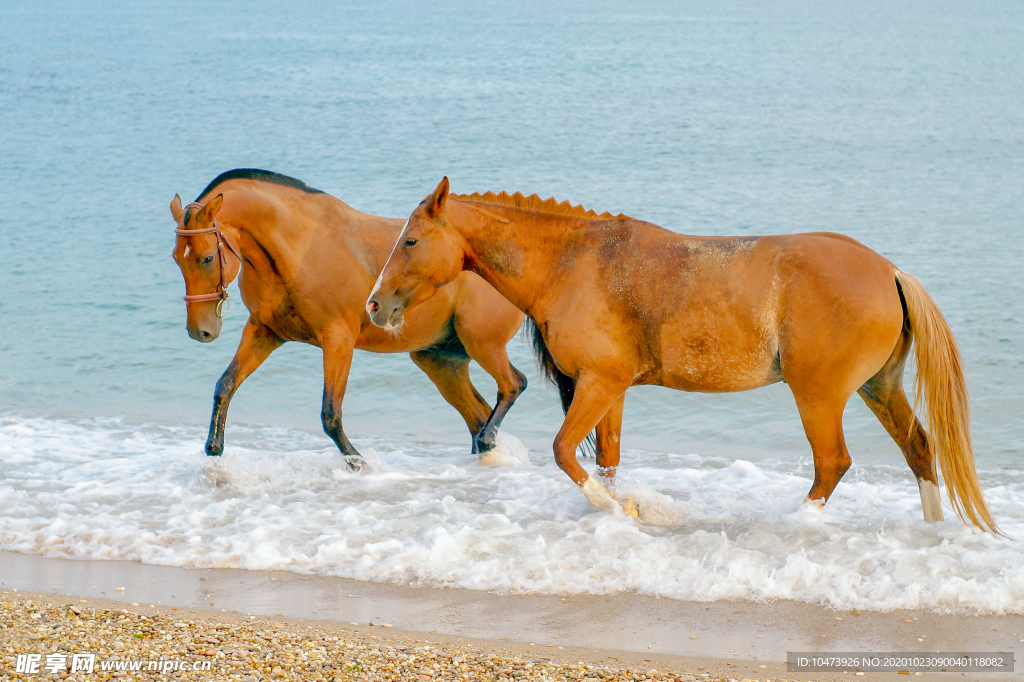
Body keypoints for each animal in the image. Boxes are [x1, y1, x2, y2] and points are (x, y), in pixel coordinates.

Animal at [168, 169, 528, 466]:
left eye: (207, 258)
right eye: (175, 258)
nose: (200, 330)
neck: (298, 246)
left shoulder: (337, 338)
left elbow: (330, 413)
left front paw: (358, 462)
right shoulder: (265, 332)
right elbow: (225, 385)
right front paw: (214, 448)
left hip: (482, 344)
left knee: (513, 385)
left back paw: (489, 442)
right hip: (440, 361)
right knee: (478, 414)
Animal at [370, 176, 999, 532]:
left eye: (411, 240)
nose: (375, 305)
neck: (575, 263)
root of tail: (889, 270)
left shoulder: (599, 384)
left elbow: (564, 453)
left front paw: (618, 512)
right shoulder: (610, 390)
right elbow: (605, 460)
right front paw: (621, 509)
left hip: (819, 395)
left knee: (833, 463)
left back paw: (798, 524)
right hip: (878, 387)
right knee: (919, 450)